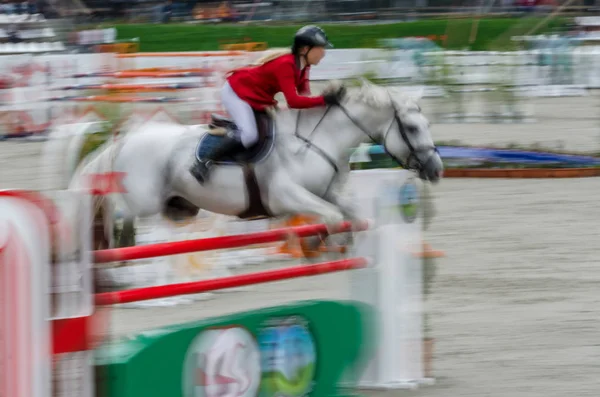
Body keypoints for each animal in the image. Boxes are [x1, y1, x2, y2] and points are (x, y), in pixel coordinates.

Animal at [68, 79, 442, 237]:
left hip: (173, 207)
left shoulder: (327, 192)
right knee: (113, 210)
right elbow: (333, 218)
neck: (318, 140)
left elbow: (351, 213)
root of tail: (126, 139)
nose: (437, 170)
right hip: (141, 200)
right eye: (411, 127)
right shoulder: (286, 195)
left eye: (427, 124)